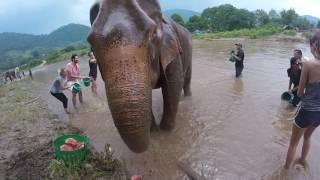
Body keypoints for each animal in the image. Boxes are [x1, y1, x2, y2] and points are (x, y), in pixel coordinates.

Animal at [87, 0, 191, 153]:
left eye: (153, 34)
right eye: (91, 42)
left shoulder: (171, 51)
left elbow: (173, 85)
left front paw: (165, 131)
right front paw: (154, 131)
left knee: (187, 77)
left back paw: (188, 98)